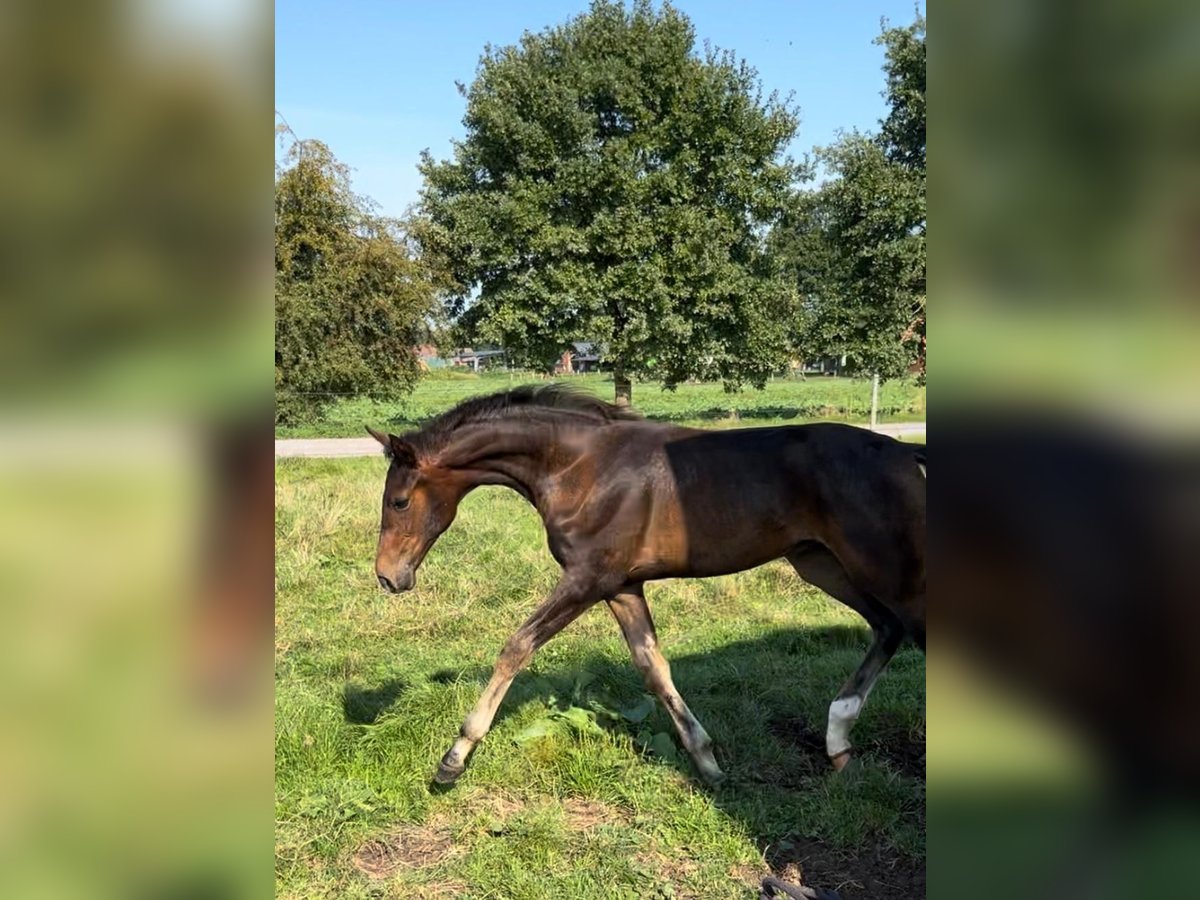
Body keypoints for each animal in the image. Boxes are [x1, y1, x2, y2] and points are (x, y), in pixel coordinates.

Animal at [364, 384, 926, 787]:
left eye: (398, 501)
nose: (389, 576)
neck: (580, 467)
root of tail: (903, 451)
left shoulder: (587, 579)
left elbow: (516, 646)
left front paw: (454, 759)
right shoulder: (621, 586)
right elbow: (653, 667)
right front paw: (708, 763)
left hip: (883, 568)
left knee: (908, 629)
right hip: (822, 563)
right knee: (888, 628)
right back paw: (838, 741)